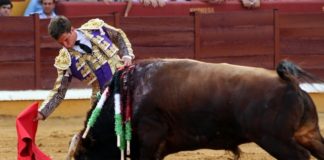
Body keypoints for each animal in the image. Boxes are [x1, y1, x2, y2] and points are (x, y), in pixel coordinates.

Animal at [73, 58, 324, 160]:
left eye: (84, 156)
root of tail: (290, 83)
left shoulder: (149, 137)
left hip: (274, 140)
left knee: (301, 156)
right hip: (308, 134)